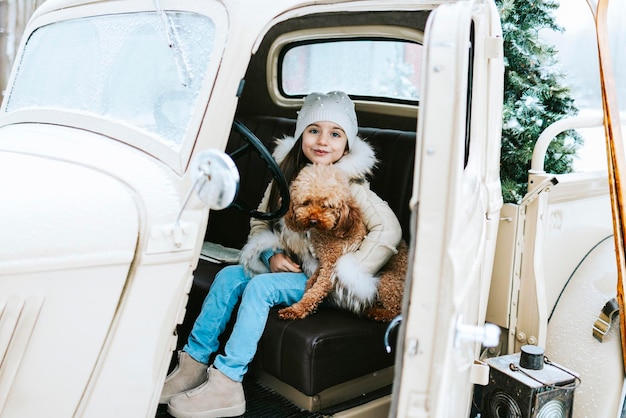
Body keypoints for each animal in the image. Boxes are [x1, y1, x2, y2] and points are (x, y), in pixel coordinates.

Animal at [276, 163, 404, 324]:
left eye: (326, 205)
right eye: (306, 203)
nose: (313, 220)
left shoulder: (331, 267)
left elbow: (316, 291)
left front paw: (296, 309)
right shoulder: (325, 262)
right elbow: (314, 279)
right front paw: (309, 286)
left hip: (387, 282)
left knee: (395, 312)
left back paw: (377, 313)